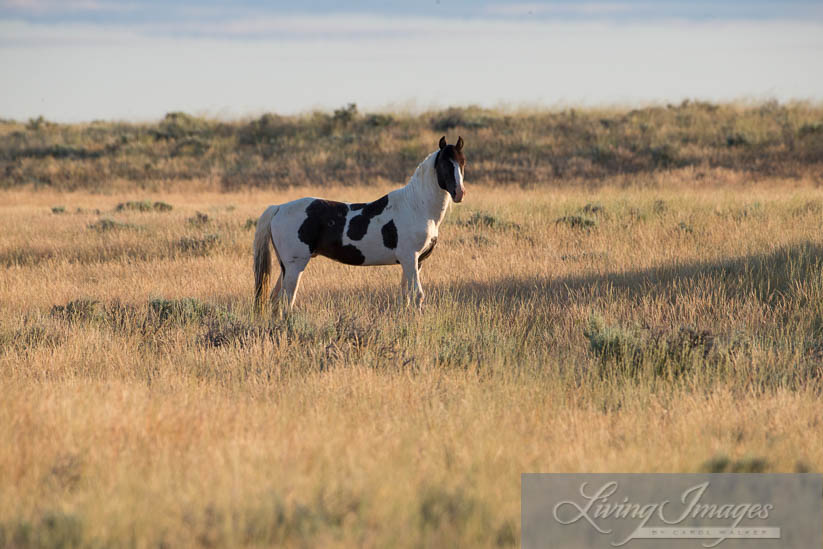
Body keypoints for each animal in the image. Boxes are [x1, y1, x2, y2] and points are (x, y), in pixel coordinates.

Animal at [251, 135, 466, 310]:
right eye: (445, 164)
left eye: (462, 162)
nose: (459, 193)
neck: (416, 206)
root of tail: (279, 208)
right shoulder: (410, 258)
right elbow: (418, 295)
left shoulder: (414, 262)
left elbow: (405, 297)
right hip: (295, 265)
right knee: (286, 300)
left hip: (286, 267)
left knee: (275, 299)